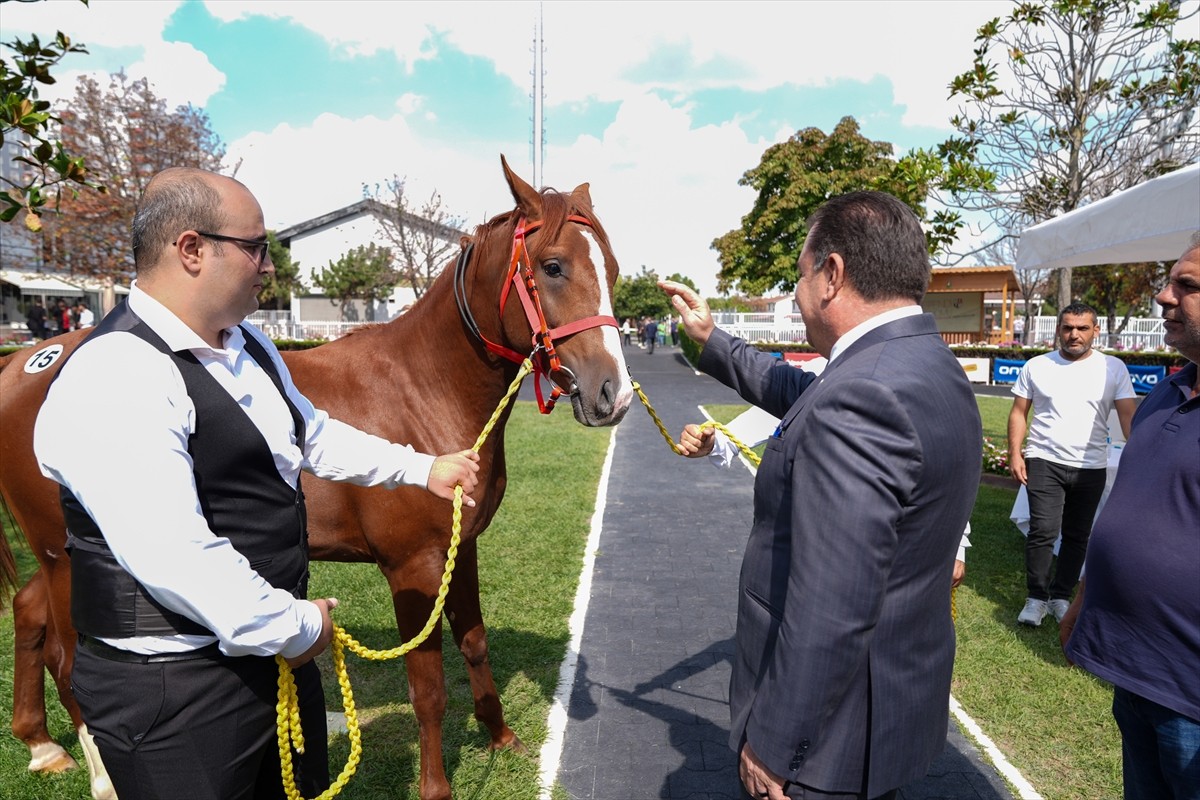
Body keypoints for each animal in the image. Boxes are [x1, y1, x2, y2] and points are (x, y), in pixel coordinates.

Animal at [0, 158, 633, 800]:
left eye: (611, 269)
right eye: (553, 266)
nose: (613, 392)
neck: (422, 387)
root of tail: (24, 364)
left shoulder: (462, 547)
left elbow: (474, 643)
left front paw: (501, 737)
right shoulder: (413, 567)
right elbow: (428, 688)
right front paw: (436, 786)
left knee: (29, 617)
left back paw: (42, 745)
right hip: (65, 561)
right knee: (69, 658)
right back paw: (101, 774)